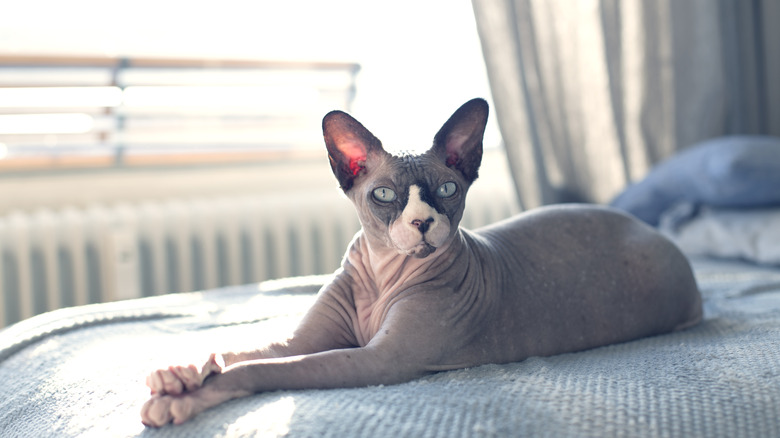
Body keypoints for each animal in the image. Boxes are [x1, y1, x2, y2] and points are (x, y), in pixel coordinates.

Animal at [142, 97, 708, 426]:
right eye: (384, 194)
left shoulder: (380, 361)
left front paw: (186, 397)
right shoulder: (305, 340)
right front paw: (181, 372)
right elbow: (247, 350)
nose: (420, 222)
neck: (381, 279)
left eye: (448, 189)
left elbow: (268, 368)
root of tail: (653, 230)